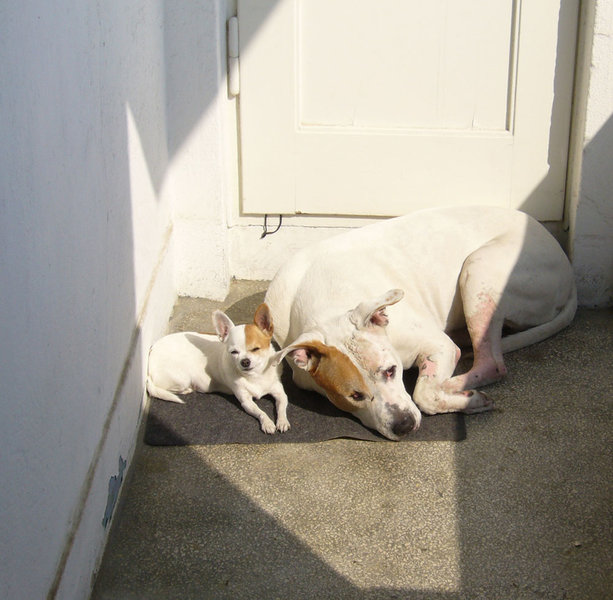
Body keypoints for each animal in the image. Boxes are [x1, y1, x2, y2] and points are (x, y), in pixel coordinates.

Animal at [146, 302, 290, 434]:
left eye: (256, 349)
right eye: (233, 352)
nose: (245, 361)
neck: (256, 376)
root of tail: (151, 352)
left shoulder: (280, 393)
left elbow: (282, 407)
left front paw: (282, 421)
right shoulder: (246, 402)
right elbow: (260, 412)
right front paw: (267, 423)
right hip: (182, 379)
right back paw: (188, 389)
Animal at [266, 206, 576, 440]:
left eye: (391, 371)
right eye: (354, 395)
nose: (403, 425)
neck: (328, 302)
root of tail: (566, 265)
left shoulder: (437, 345)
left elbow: (423, 395)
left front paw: (464, 398)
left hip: (480, 267)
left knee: (491, 363)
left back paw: (457, 384)